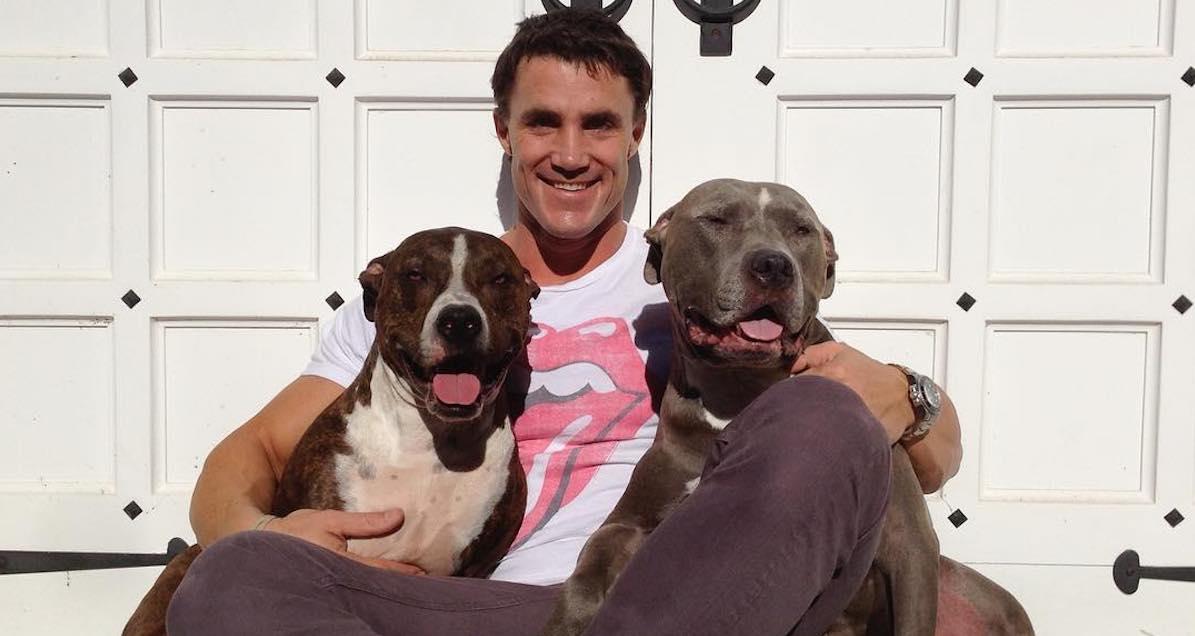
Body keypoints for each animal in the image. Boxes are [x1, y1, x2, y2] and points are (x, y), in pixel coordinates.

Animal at [544, 179, 1037, 636]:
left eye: (801, 230)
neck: (740, 391)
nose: (773, 264)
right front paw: (570, 617)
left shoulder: (909, 542)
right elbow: (592, 560)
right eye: (716, 219)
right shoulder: (631, 520)